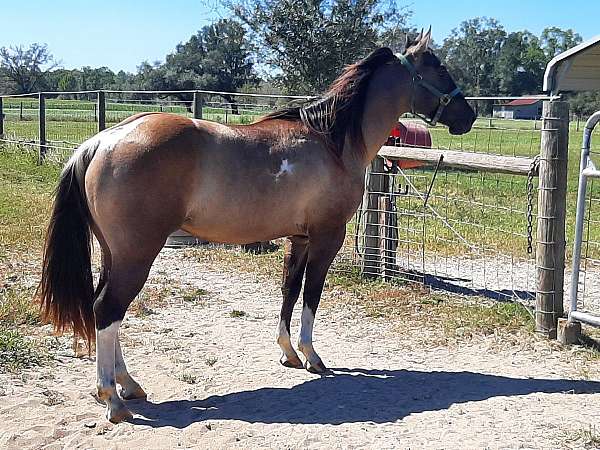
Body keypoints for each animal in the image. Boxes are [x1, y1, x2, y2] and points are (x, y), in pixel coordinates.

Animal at [38, 29, 478, 424]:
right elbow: (312, 295)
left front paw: (287, 352)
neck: (331, 142)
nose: (469, 115)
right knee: (107, 309)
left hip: (115, 253)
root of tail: (102, 141)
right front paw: (312, 356)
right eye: (440, 68)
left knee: (105, 310)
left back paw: (127, 384)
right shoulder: (327, 237)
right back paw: (112, 399)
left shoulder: (299, 238)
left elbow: (289, 290)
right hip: (137, 255)